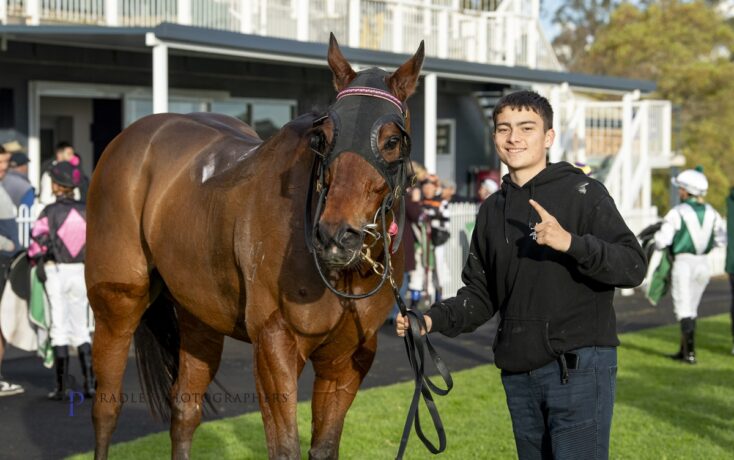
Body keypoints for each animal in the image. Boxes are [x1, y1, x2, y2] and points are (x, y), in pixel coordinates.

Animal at [86, 34, 425, 459]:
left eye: (392, 140)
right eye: (323, 137)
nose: (334, 235)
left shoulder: (346, 358)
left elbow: (324, 447)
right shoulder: (273, 343)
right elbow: (285, 448)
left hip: (199, 314)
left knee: (185, 410)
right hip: (117, 304)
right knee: (106, 408)